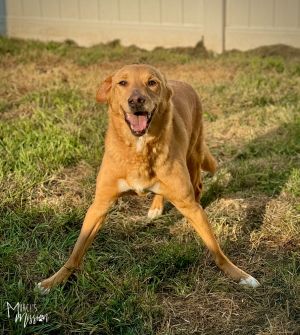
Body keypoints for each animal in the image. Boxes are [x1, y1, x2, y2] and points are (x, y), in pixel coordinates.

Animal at [37, 63, 258, 294]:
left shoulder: (188, 204)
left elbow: (215, 248)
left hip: (193, 155)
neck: (139, 148)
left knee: (197, 186)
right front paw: (54, 281)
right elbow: (76, 250)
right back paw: (156, 206)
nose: (136, 100)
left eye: (151, 82)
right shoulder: (100, 205)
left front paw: (239, 274)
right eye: (122, 82)